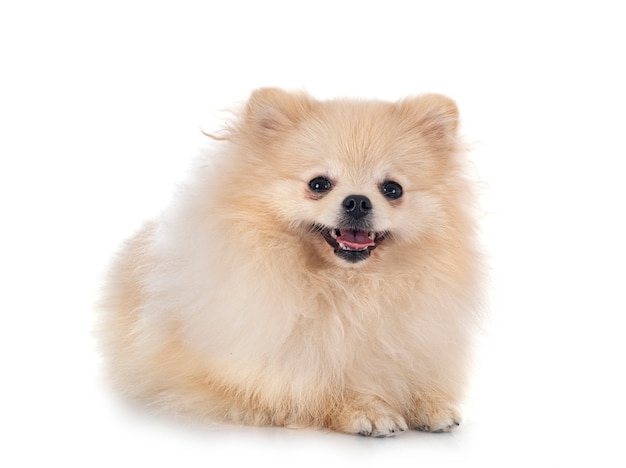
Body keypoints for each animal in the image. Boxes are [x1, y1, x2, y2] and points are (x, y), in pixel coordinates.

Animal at [98, 88, 482, 438]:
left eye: (392, 189)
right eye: (318, 184)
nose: (357, 201)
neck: (349, 286)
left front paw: (426, 401)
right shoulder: (255, 368)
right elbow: (307, 389)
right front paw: (364, 407)